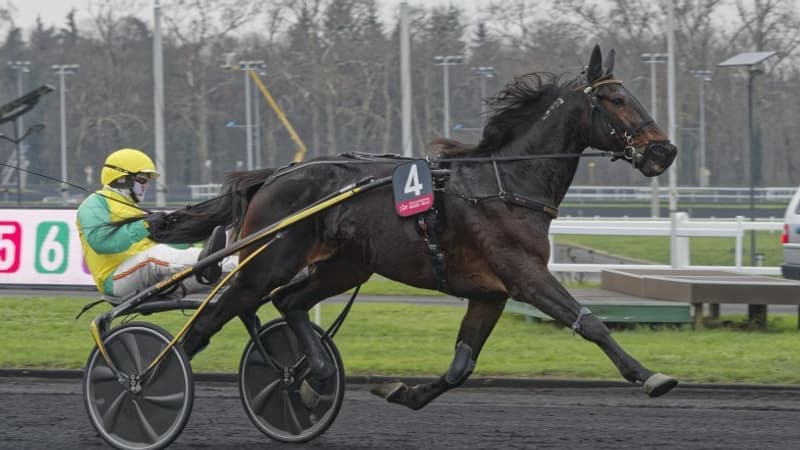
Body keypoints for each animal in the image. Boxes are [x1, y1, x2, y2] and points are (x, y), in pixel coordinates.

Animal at [148, 44, 676, 408]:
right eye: (615, 98)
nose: (663, 150)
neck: (504, 184)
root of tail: (273, 176)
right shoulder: (525, 276)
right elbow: (590, 322)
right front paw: (651, 375)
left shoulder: (490, 293)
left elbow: (461, 366)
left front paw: (403, 392)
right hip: (265, 265)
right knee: (210, 320)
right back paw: (152, 384)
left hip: (345, 266)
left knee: (289, 301)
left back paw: (315, 378)